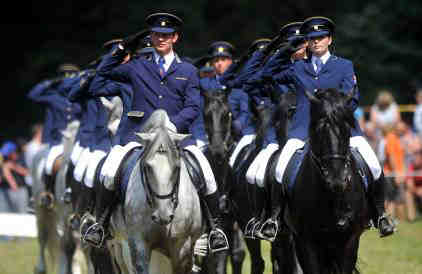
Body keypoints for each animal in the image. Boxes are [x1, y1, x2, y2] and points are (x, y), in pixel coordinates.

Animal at [105, 110, 204, 274]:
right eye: (147, 167)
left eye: (177, 167)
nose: (163, 216)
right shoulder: (138, 244)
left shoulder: (182, 247)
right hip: (119, 248)